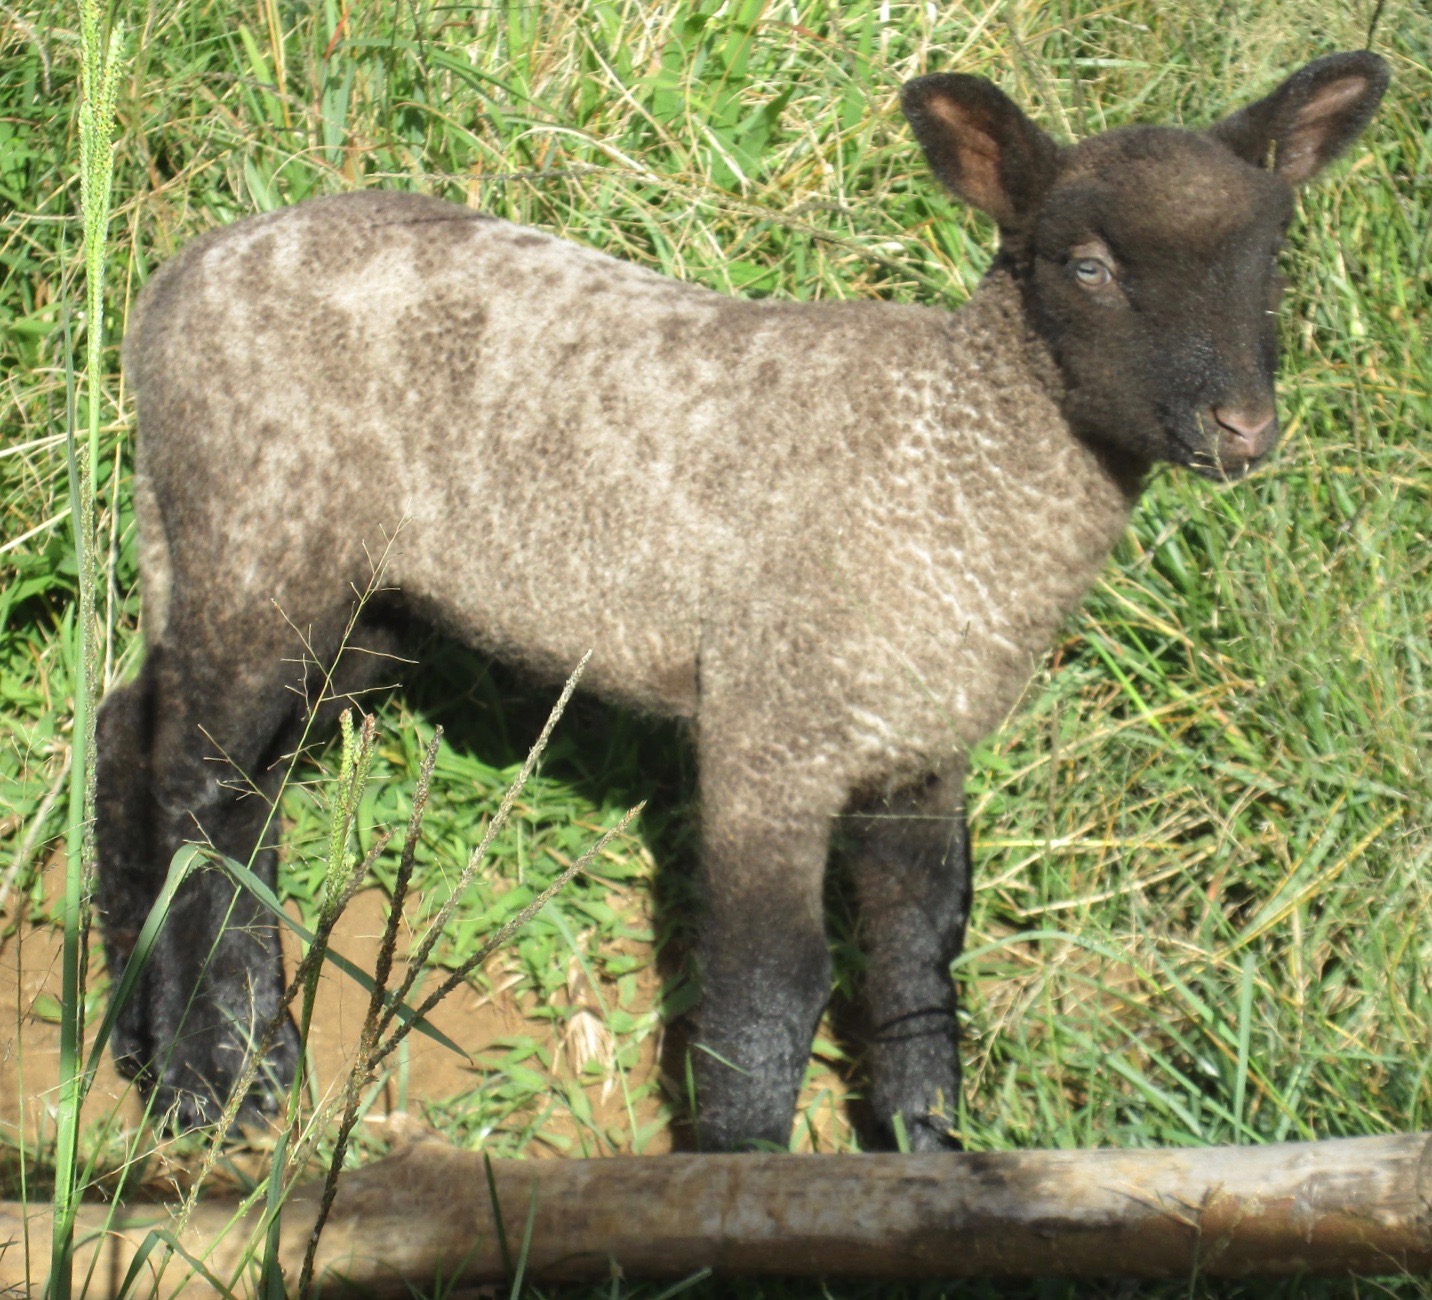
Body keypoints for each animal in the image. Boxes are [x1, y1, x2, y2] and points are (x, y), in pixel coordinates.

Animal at [92, 48, 1386, 1145]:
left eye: (1270, 263)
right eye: (1088, 267)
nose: (1242, 427)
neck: (948, 454)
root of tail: (176, 279)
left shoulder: (922, 745)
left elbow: (919, 948)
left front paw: (927, 1148)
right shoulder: (773, 726)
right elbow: (772, 980)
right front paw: (740, 1171)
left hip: (336, 590)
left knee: (173, 752)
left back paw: (190, 1051)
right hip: (262, 533)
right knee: (195, 776)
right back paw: (211, 1084)